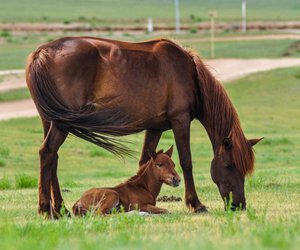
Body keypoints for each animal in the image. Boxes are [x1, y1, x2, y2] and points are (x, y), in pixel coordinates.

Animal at [25, 35, 262, 217]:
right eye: (229, 166)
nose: (239, 205)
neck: (190, 74)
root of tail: (42, 53)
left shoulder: (155, 127)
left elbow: (145, 161)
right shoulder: (180, 120)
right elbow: (186, 161)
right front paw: (196, 204)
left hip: (51, 121)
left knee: (53, 158)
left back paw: (60, 208)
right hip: (61, 124)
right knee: (47, 153)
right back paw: (46, 210)